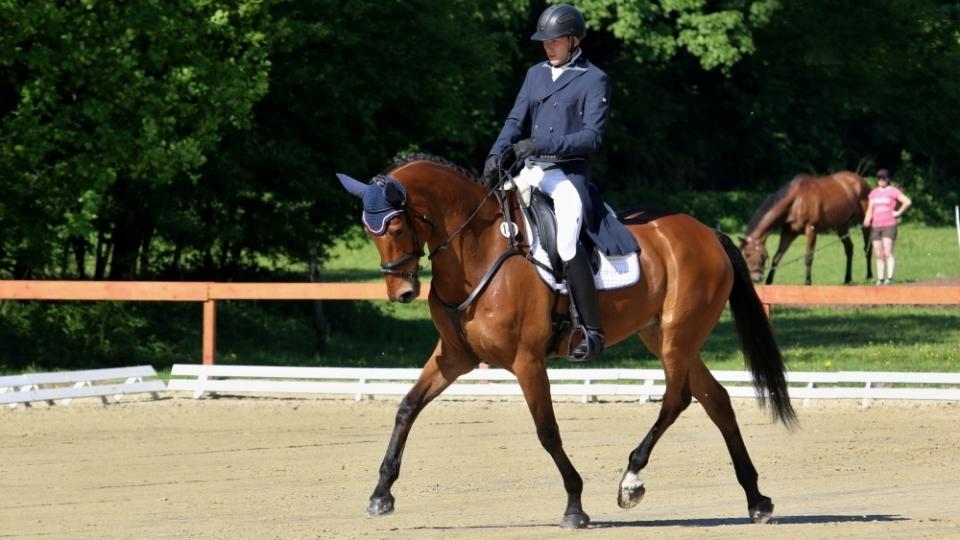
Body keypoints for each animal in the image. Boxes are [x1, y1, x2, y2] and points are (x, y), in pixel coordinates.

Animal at [336, 153, 796, 529]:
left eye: (396, 225)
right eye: (367, 230)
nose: (402, 293)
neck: (477, 252)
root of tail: (706, 232)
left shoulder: (527, 361)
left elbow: (547, 431)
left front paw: (575, 505)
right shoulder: (454, 357)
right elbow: (407, 408)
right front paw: (381, 495)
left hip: (676, 337)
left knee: (678, 399)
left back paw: (631, 482)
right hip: (662, 335)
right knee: (716, 399)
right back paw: (757, 500)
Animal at [739, 171, 872, 285]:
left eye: (764, 255)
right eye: (747, 254)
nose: (756, 278)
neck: (796, 201)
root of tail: (861, 181)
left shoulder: (811, 230)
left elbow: (808, 258)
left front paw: (807, 283)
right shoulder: (788, 233)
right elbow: (777, 257)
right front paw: (769, 282)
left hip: (864, 220)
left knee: (867, 247)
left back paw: (869, 276)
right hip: (842, 225)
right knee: (849, 248)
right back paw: (847, 279)